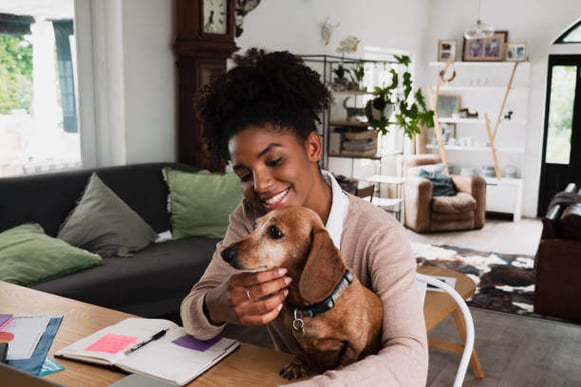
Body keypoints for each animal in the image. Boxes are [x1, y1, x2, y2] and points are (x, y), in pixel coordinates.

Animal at [220, 208, 382, 380]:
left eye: (274, 231)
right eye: (254, 226)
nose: (225, 253)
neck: (313, 308)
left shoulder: (355, 342)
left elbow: (346, 360)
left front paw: (337, 371)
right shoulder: (291, 334)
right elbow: (298, 351)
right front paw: (296, 365)